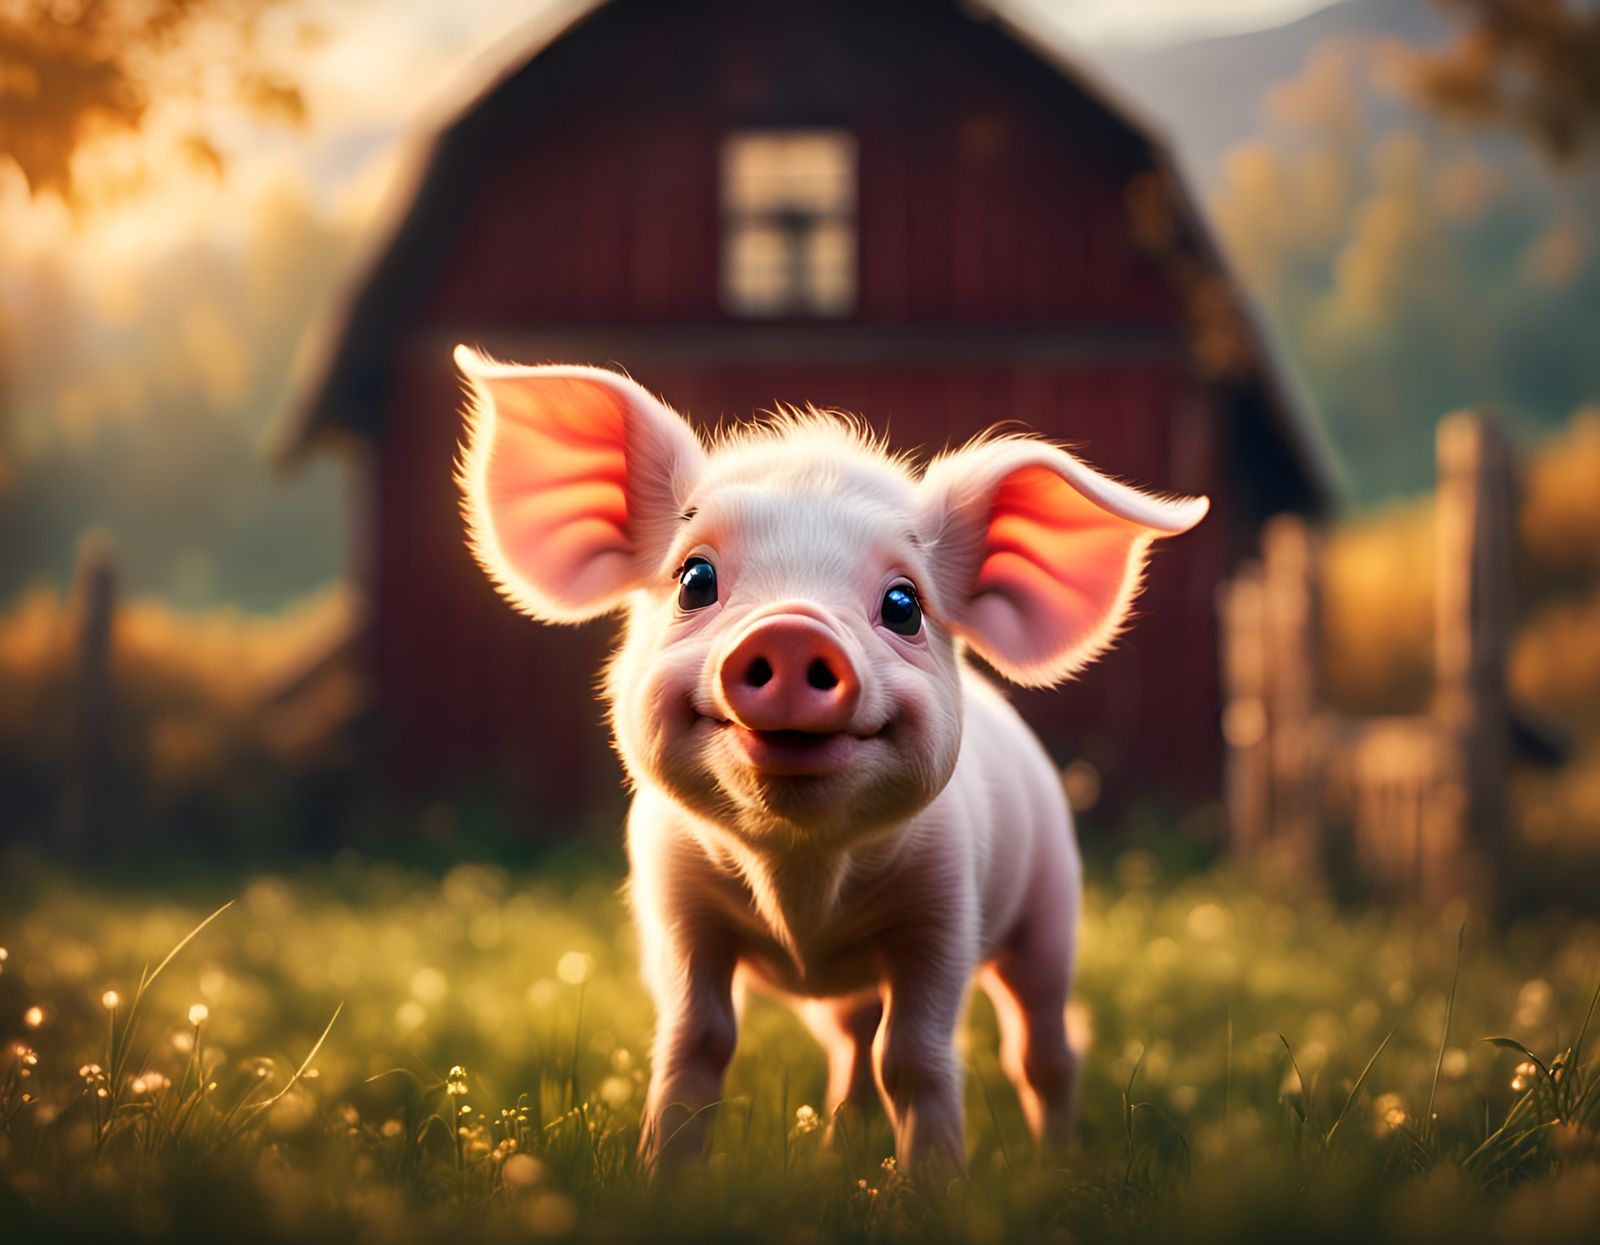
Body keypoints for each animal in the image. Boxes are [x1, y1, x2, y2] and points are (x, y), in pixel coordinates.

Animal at [453, 346, 1207, 1175]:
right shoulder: (674, 902)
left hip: (1052, 907)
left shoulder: (944, 908)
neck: (801, 881)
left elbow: (916, 1058)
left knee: (1041, 1047)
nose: (791, 629)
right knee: (850, 1048)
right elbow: (695, 1041)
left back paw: (1056, 1166)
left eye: (904, 605)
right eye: (695, 579)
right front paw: (663, 1178)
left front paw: (935, 1188)